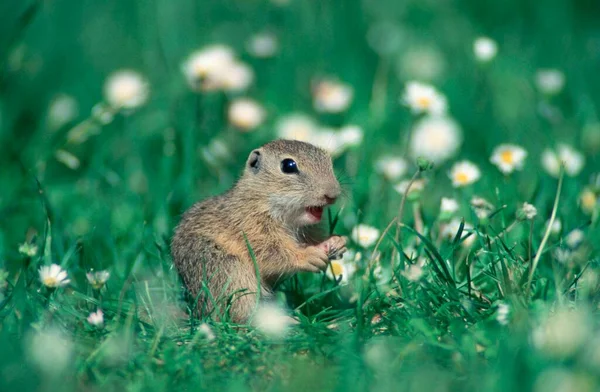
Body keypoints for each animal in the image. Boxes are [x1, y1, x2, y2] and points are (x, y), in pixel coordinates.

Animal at [169, 139, 346, 324]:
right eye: (288, 166)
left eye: (328, 160)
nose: (332, 194)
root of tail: (197, 314)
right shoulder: (251, 228)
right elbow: (273, 253)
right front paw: (307, 256)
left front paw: (336, 242)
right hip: (229, 272)